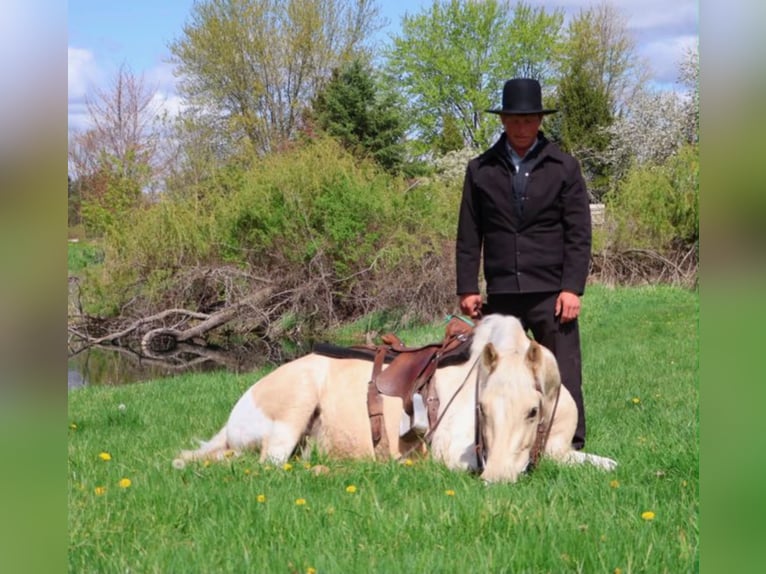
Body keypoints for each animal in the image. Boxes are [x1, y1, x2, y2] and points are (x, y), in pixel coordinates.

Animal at [173, 314, 617, 482]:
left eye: (532, 411)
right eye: (482, 409)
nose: (497, 480)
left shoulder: (561, 449)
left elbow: (606, 464)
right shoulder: (453, 453)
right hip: (293, 409)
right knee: (270, 464)